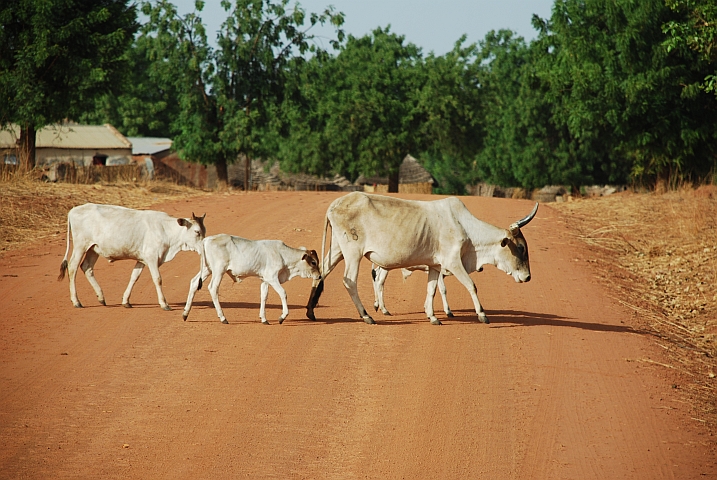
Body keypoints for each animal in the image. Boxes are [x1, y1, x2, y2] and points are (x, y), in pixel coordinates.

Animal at [57, 203, 206, 312]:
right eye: (197, 231)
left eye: (204, 231)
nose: (204, 247)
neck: (166, 231)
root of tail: (74, 210)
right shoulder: (152, 258)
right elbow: (157, 279)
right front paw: (164, 304)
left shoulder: (142, 259)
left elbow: (134, 277)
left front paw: (126, 301)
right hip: (80, 246)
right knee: (73, 267)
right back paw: (76, 301)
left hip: (93, 249)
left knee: (87, 267)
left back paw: (101, 297)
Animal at [183, 233, 320, 324]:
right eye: (313, 262)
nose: (319, 276)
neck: (283, 255)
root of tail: (206, 240)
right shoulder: (272, 278)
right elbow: (283, 293)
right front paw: (282, 316)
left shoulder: (264, 280)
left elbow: (264, 296)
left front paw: (264, 319)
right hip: (218, 270)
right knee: (213, 288)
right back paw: (223, 318)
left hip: (207, 269)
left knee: (194, 282)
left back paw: (185, 313)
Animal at [306, 193, 536, 324]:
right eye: (521, 248)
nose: (527, 277)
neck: (465, 226)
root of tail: (335, 204)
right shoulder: (453, 262)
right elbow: (471, 285)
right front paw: (482, 315)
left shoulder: (435, 266)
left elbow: (432, 290)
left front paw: (433, 316)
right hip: (353, 252)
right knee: (350, 281)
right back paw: (367, 316)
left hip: (337, 248)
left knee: (321, 272)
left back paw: (310, 311)